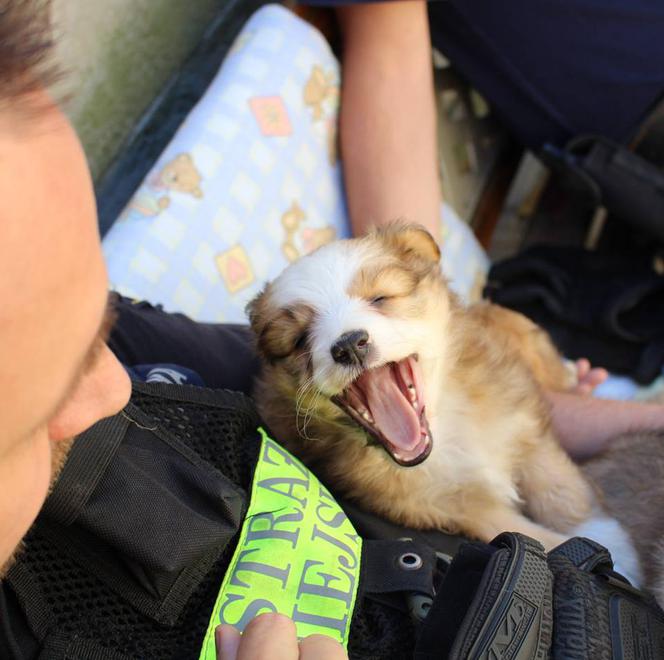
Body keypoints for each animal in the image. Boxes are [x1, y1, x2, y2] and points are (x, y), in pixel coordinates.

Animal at [248, 224, 592, 548]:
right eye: (299, 340)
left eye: (380, 298)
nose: (349, 345)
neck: (447, 430)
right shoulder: (463, 510)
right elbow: (546, 541)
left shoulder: (529, 433)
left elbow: (568, 501)